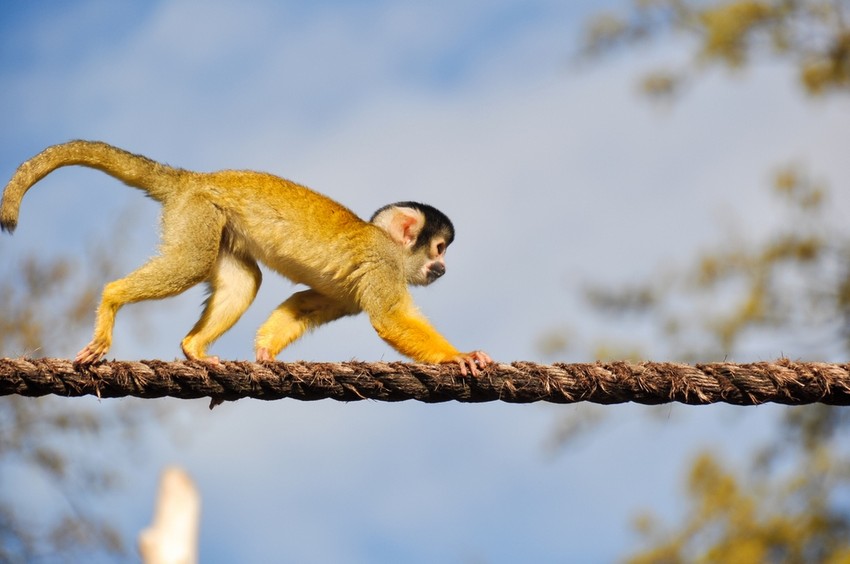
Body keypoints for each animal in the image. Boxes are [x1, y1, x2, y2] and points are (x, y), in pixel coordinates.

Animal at [1, 140, 490, 374]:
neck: (388, 245)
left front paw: (266, 350)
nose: (442, 268)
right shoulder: (382, 265)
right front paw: (457, 357)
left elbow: (306, 304)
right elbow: (389, 319)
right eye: (439, 249)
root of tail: (191, 178)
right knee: (190, 265)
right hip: (198, 212)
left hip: (216, 224)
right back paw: (111, 298)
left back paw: (194, 349)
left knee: (243, 280)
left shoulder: (355, 287)